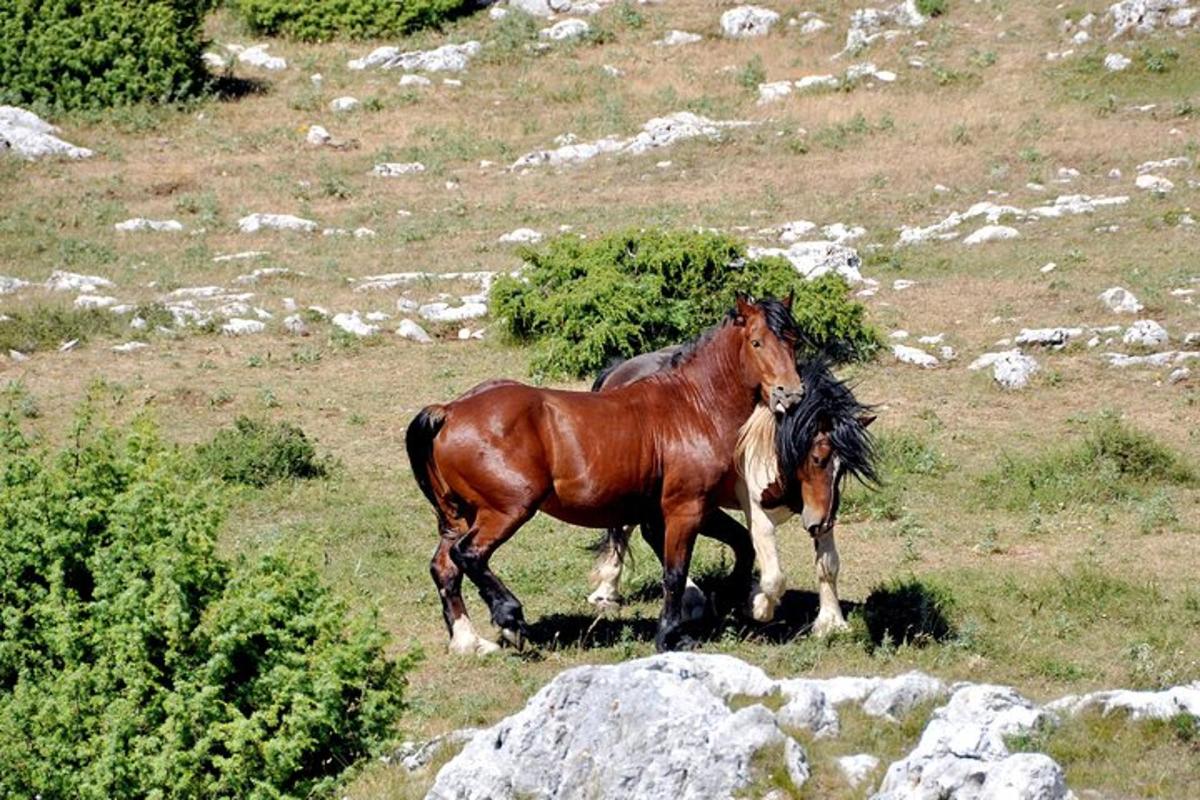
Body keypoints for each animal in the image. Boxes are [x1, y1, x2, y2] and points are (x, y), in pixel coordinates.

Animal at [405, 297, 806, 652]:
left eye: (793, 341)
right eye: (756, 342)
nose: (792, 394)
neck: (694, 406)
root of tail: (450, 411)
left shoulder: (685, 510)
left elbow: (740, 545)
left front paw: (743, 603)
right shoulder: (685, 507)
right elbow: (675, 574)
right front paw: (670, 636)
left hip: (461, 516)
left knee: (444, 567)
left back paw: (469, 642)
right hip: (506, 511)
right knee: (468, 555)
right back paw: (510, 619)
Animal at [588, 357, 878, 638]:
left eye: (843, 469)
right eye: (818, 459)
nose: (820, 523)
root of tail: (620, 370)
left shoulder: (818, 509)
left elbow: (828, 564)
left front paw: (831, 622)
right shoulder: (757, 511)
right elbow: (773, 576)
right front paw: (758, 605)